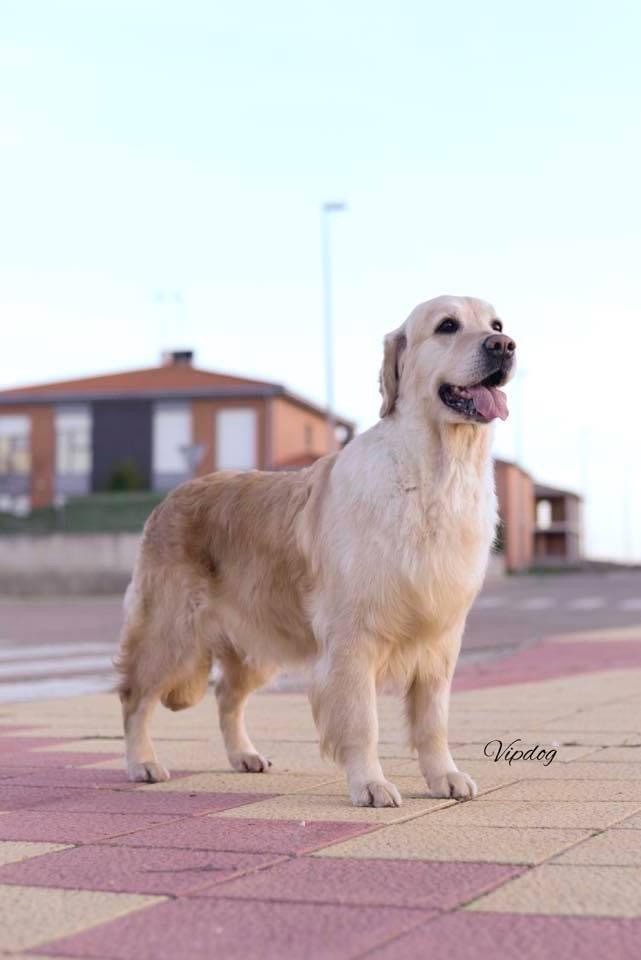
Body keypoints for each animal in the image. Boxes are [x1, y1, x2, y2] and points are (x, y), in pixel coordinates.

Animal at [115, 296, 516, 808]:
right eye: (447, 326)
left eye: (497, 324)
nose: (504, 345)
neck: (436, 477)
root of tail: (169, 498)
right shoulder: (352, 638)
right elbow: (362, 721)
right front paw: (370, 784)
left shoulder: (440, 639)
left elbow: (433, 722)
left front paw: (444, 776)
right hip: (171, 632)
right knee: (136, 697)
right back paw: (142, 762)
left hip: (257, 642)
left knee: (227, 696)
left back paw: (244, 755)